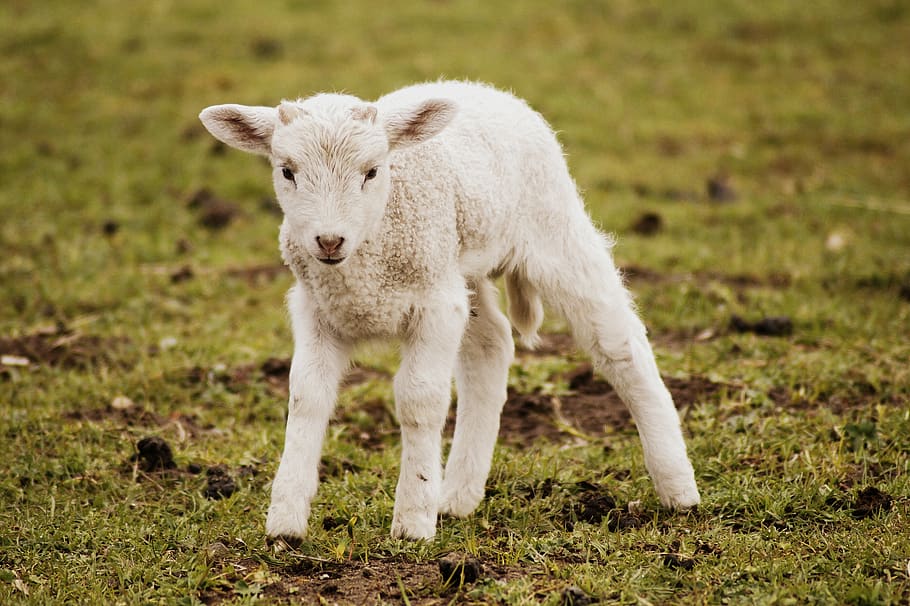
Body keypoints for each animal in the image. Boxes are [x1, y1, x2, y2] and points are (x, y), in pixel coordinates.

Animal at [199, 80, 700, 542]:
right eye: (287, 171)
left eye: (372, 172)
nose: (328, 240)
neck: (363, 264)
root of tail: (484, 88)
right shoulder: (316, 309)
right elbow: (306, 397)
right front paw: (285, 522)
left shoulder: (434, 306)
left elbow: (419, 399)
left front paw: (412, 523)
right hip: (461, 272)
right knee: (490, 347)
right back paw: (457, 495)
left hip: (552, 231)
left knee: (618, 342)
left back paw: (678, 489)